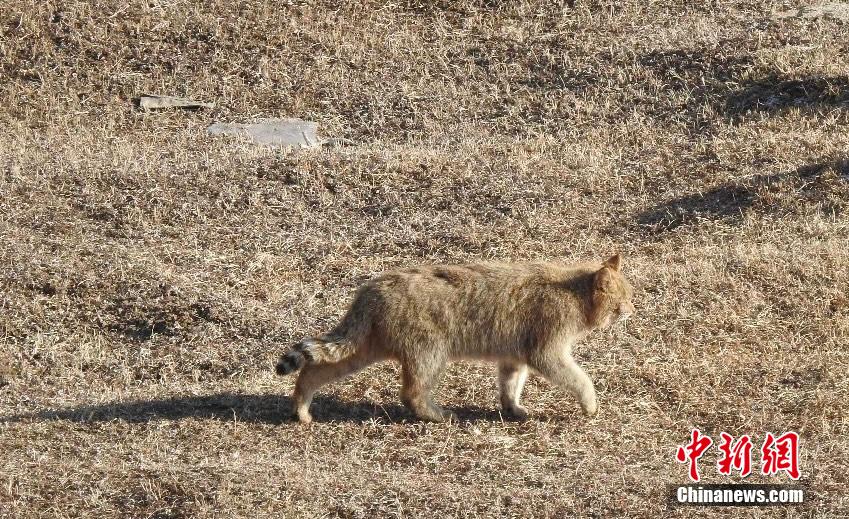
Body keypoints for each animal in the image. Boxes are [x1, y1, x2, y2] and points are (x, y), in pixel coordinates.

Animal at [275, 254, 634, 423]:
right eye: (623, 300)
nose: (634, 308)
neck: (574, 292)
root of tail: (371, 289)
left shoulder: (514, 356)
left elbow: (510, 386)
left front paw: (513, 408)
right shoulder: (545, 351)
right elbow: (580, 379)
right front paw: (590, 404)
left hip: (363, 348)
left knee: (313, 371)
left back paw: (302, 409)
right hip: (429, 353)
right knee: (412, 394)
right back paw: (437, 414)